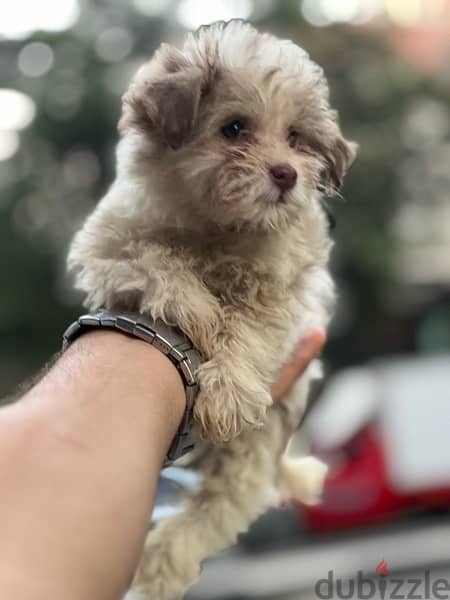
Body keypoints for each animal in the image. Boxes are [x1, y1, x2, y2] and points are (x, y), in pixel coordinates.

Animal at [67, 21, 356, 596]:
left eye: (297, 138)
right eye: (234, 129)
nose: (287, 174)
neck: (219, 226)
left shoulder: (284, 293)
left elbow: (250, 328)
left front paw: (227, 392)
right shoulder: (107, 246)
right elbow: (154, 260)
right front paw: (198, 310)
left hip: (249, 460)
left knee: (209, 517)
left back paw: (158, 569)